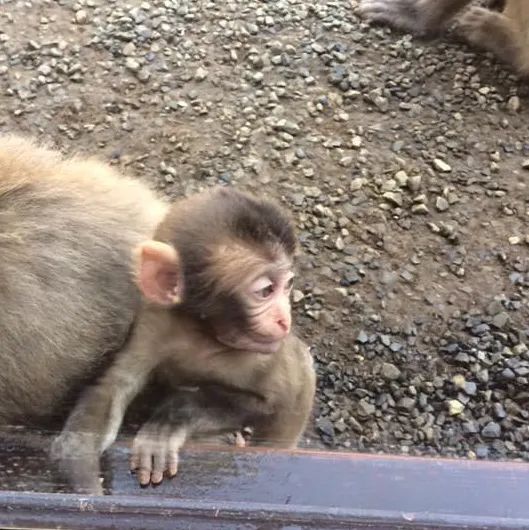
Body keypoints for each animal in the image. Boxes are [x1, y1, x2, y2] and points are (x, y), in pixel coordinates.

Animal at [53, 186, 316, 490]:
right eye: (265, 290)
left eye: (288, 285)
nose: (284, 318)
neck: (204, 335)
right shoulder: (154, 323)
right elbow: (113, 385)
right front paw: (81, 470)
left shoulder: (266, 356)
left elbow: (278, 403)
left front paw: (170, 421)